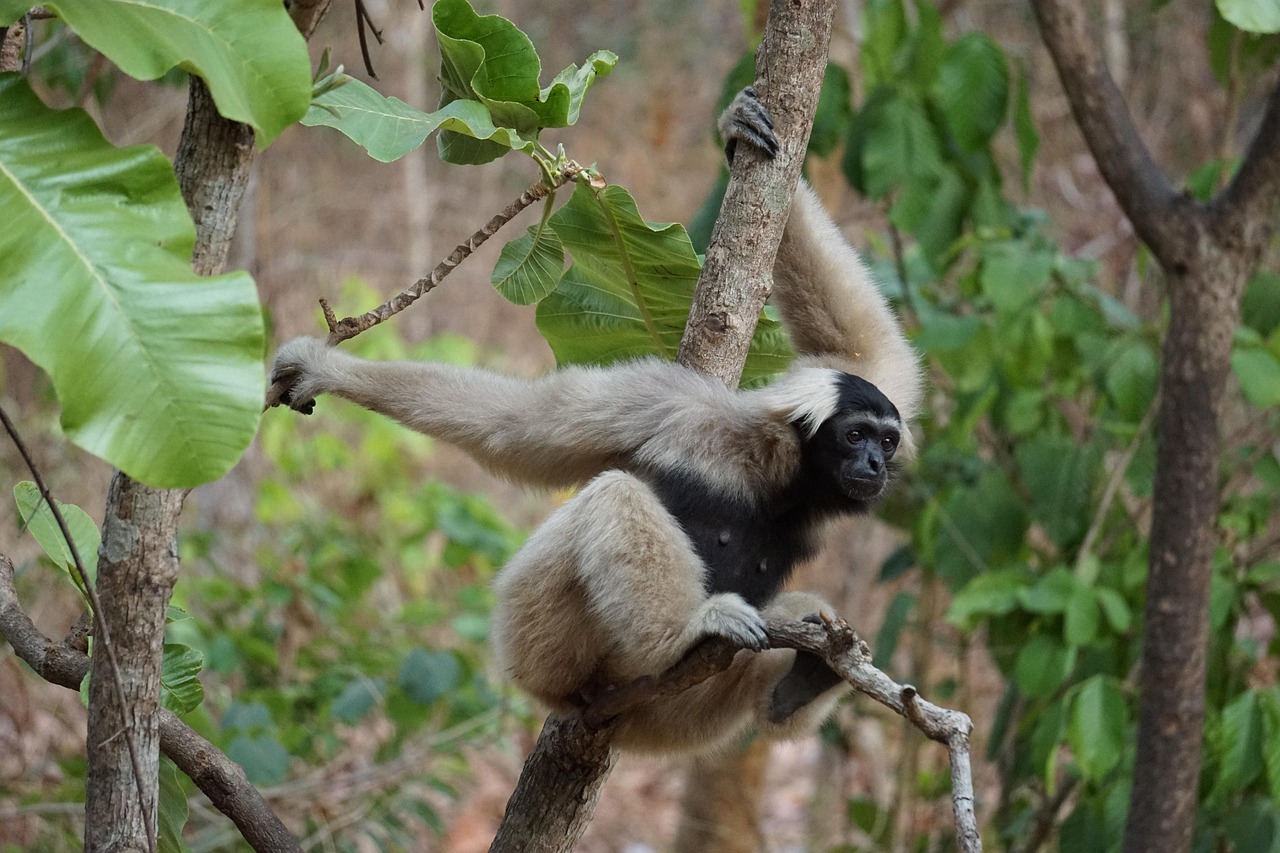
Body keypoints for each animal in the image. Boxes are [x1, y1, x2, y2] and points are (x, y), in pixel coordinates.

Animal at [269, 87, 922, 754]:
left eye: (887, 439)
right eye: (855, 436)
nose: (875, 463)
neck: (778, 476)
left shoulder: (854, 389)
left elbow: (871, 348)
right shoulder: (679, 406)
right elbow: (522, 428)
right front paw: (327, 369)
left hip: (670, 716)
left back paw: (799, 686)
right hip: (536, 642)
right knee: (613, 494)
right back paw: (689, 632)